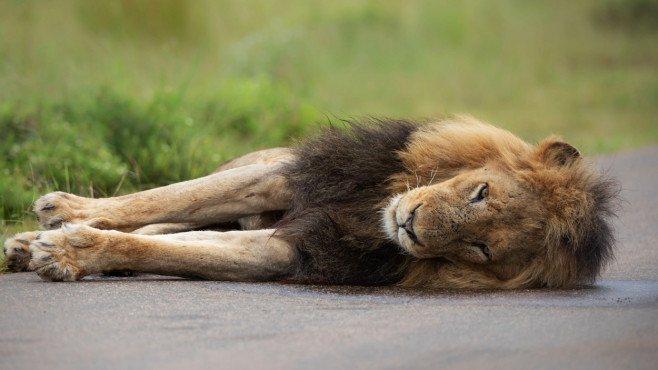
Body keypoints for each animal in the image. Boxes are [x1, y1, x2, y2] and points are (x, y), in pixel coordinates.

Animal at [2, 116, 616, 290]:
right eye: (481, 191)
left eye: (480, 249)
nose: (413, 225)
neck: (376, 207)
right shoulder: (286, 177)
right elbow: (173, 195)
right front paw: (64, 212)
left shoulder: (296, 248)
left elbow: (191, 249)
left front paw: (72, 251)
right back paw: (22, 243)